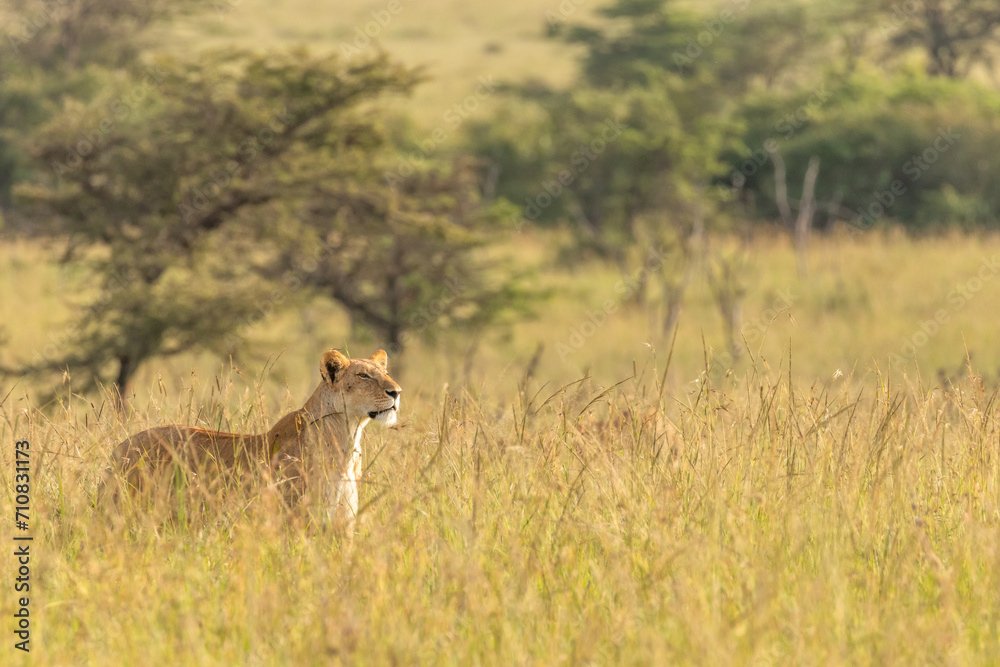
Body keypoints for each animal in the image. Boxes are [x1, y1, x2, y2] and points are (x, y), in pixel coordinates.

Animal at [100, 349, 401, 529]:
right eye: (364, 375)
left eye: (386, 373)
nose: (396, 392)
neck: (347, 436)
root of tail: (120, 448)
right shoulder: (296, 521)